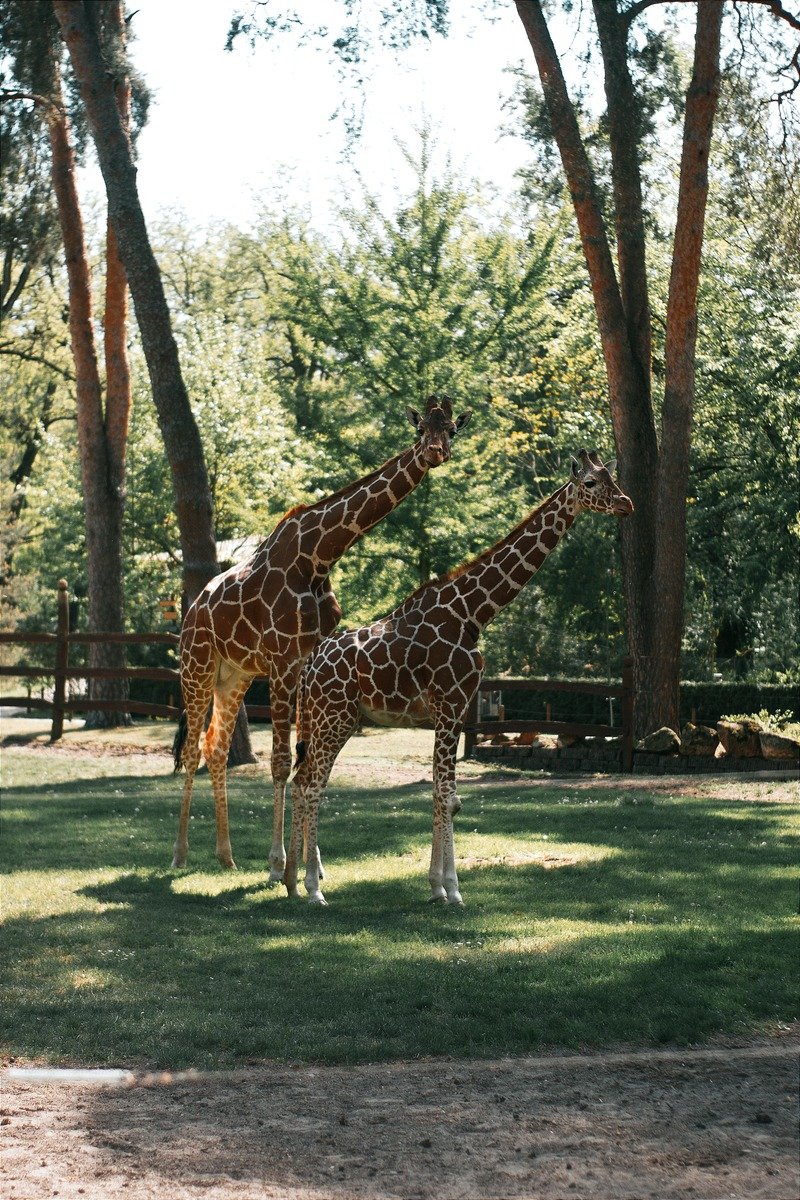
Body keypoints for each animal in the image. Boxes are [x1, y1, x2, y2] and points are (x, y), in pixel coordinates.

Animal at [171, 395, 472, 875]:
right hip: (197, 666)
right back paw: (181, 854)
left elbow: (303, 757)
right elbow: (281, 762)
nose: (436, 452)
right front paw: (278, 864)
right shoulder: (282, 661)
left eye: (452, 429)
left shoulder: (306, 661)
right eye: (421, 428)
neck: (318, 557)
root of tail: (192, 609)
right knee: (191, 750)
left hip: (234, 675)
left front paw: (301, 863)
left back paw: (226, 855)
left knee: (216, 747)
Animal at [285, 450, 633, 904]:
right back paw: (313, 888)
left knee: (301, 781)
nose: (627, 503)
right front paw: (452, 889)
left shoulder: (455, 710)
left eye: (612, 476)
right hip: (334, 718)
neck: (472, 613)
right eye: (591, 483)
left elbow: (443, 794)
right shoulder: (450, 706)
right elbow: (447, 797)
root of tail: (309, 670)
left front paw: (436, 886)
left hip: (329, 719)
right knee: (311, 786)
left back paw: (292, 881)